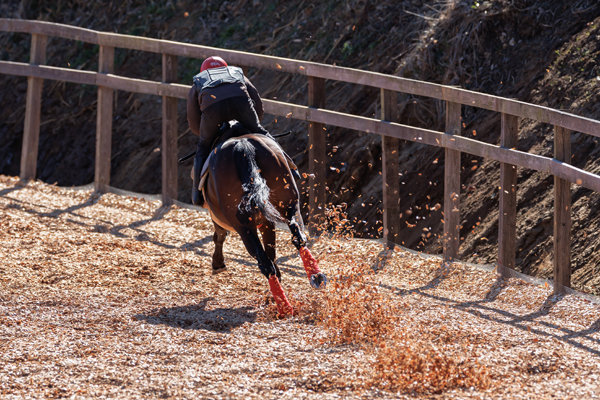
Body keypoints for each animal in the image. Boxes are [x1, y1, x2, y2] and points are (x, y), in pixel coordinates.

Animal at [199, 122, 326, 316]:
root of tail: (243, 145)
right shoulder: (267, 222)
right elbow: (272, 251)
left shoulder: (222, 220)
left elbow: (220, 236)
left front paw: (218, 263)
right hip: (289, 204)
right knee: (297, 237)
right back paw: (315, 275)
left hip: (244, 227)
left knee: (263, 261)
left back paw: (284, 305)